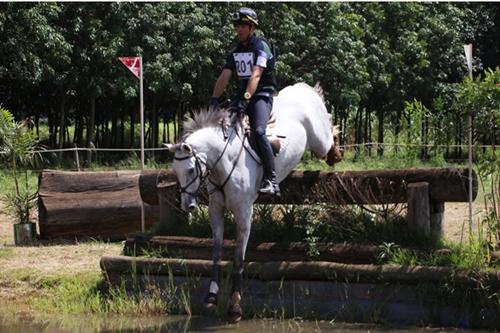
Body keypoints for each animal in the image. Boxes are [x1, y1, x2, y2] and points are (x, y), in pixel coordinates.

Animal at [166, 82, 342, 322]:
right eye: (175, 171)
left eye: (191, 169)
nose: (188, 206)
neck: (224, 161)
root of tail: (303, 88)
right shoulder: (215, 210)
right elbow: (216, 254)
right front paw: (211, 297)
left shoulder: (243, 213)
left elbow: (238, 259)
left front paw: (234, 307)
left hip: (318, 140)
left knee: (328, 135)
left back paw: (335, 154)